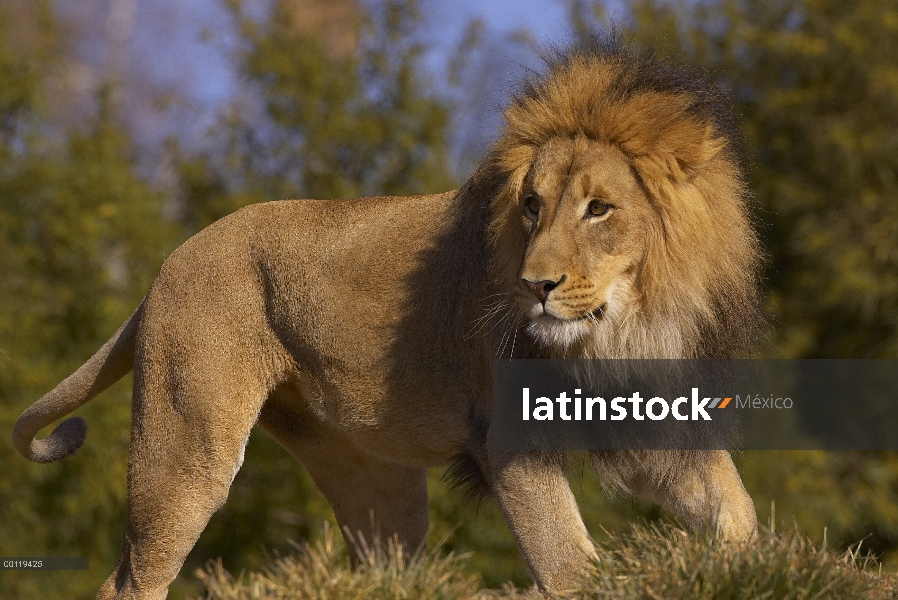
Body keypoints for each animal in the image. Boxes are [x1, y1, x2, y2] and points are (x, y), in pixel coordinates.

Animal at [12, 38, 756, 600]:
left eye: (599, 209)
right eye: (532, 206)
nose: (533, 285)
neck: (623, 327)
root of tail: (171, 260)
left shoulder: (654, 425)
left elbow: (738, 511)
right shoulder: (510, 441)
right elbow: (569, 562)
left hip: (373, 476)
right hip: (188, 445)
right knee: (129, 580)